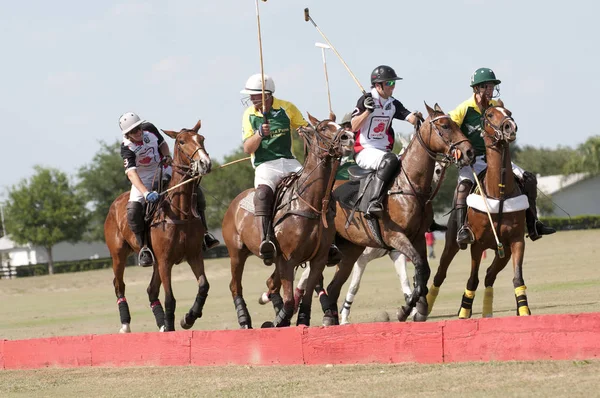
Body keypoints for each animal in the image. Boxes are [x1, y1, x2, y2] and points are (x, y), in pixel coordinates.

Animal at [104, 119, 212, 334]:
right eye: (181, 141)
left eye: (202, 138)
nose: (205, 163)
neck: (180, 212)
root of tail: (114, 205)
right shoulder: (165, 261)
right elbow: (170, 299)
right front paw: (172, 326)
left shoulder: (194, 255)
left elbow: (204, 285)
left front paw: (188, 318)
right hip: (118, 255)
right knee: (119, 285)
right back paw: (125, 324)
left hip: (154, 262)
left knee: (151, 290)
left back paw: (162, 324)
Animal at [223, 113, 354, 328]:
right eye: (323, 128)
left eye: (339, 125)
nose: (349, 138)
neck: (310, 203)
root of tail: (233, 203)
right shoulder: (287, 260)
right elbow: (290, 300)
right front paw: (278, 320)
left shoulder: (317, 260)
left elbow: (305, 298)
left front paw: (298, 320)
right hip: (237, 253)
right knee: (235, 286)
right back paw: (244, 320)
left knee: (270, 283)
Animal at [316, 103, 476, 326]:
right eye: (444, 126)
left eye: (455, 123)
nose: (470, 152)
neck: (409, 186)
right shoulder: (395, 236)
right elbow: (419, 268)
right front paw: (408, 310)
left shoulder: (416, 238)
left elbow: (422, 272)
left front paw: (416, 309)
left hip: (350, 250)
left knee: (333, 286)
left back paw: (330, 318)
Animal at [426, 105, 528, 318]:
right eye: (490, 115)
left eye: (508, 112)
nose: (510, 127)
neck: (499, 193)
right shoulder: (477, 245)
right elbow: (472, 280)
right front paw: (464, 313)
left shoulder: (516, 241)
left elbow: (518, 279)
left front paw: (524, 311)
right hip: (452, 243)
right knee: (440, 273)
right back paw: (426, 307)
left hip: (503, 251)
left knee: (490, 275)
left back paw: (487, 312)